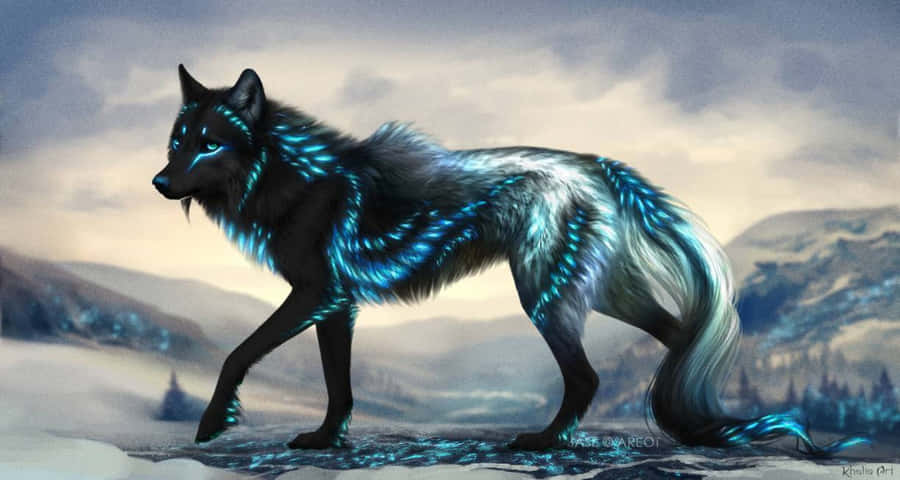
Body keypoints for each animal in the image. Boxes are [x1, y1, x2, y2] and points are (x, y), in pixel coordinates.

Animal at [152, 65, 866, 454]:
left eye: (210, 143)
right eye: (178, 141)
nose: (158, 183)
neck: (291, 180)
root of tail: (596, 164)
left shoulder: (314, 295)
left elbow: (238, 353)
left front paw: (213, 424)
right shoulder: (337, 305)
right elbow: (339, 386)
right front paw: (327, 441)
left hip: (544, 297)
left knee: (587, 377)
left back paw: (547, 442)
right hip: (600, 294)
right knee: (677, 337)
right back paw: (696, 422)